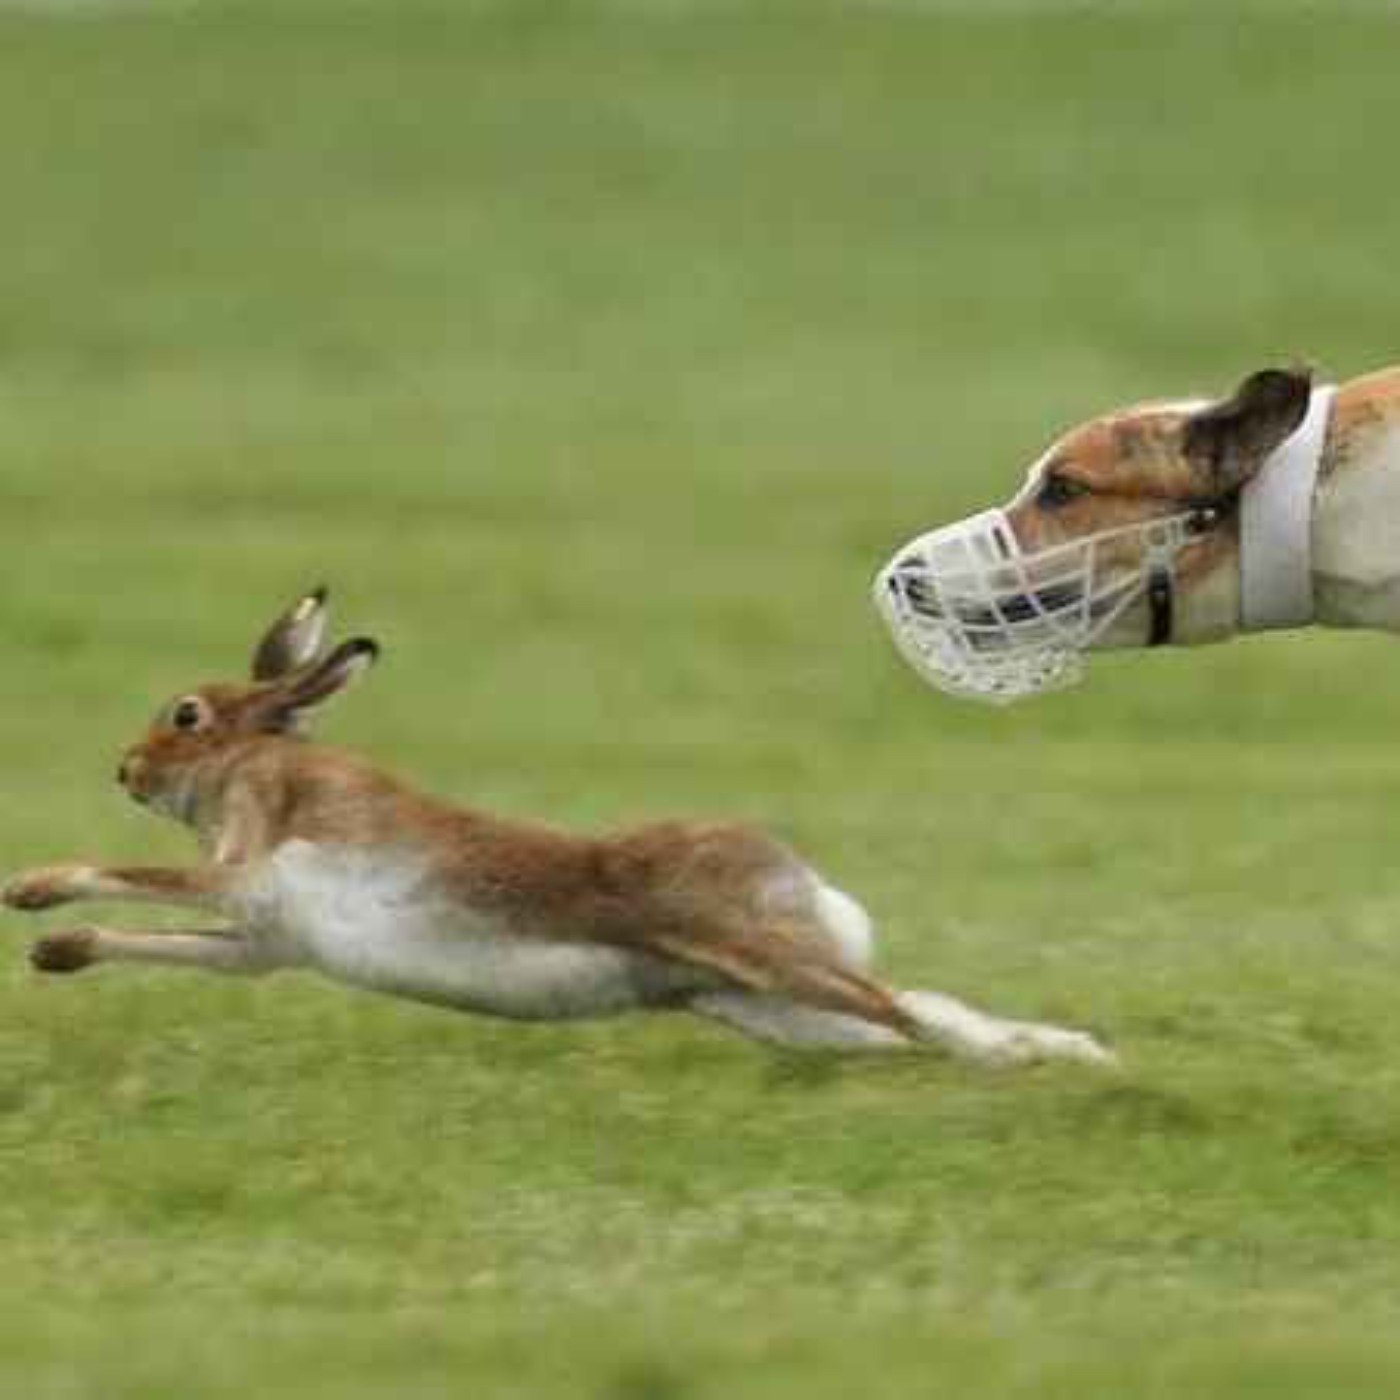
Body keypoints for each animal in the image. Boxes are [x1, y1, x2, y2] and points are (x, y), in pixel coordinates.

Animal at [2, 588, 1112, 1067]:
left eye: (187, 716)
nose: (125, 767)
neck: (260, 764)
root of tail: (807, 883)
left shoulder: (249, 876)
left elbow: (137, 875)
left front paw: (28, 891)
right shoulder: (261, 944)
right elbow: (169, 939)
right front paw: (58, 950)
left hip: (764, 960)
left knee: (912, 1010)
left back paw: (1054, 1060)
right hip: (760, 1004)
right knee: (906, 1016)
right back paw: (1046, 1058)